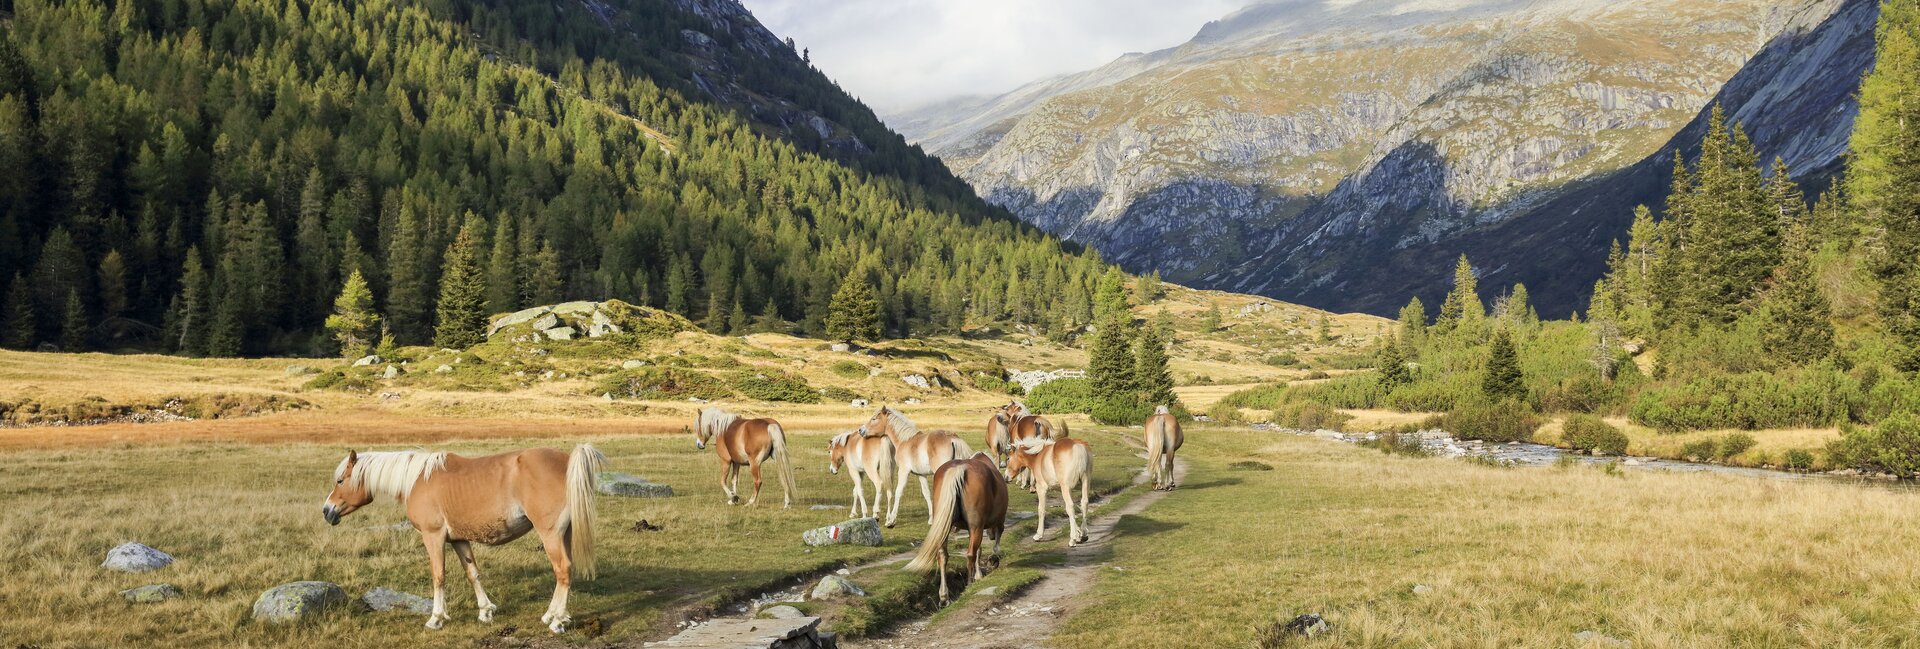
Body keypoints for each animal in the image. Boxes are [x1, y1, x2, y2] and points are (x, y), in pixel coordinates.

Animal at [322, 443, 602, 629]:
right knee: (566, 571)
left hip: (550, 534)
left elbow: (438, 576)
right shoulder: (458, 540)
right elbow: (473, 573)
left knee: (562, 570)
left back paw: (556, 622)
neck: (417, 480)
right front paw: (485, 611)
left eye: (340, 480)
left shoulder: (433, 537)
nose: (327, 510)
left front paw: (436, 618)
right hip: (564, 534)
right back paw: (554, 615)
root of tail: (567, 460)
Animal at [906, 451, 1013, 602]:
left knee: (943, 555)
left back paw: (944, 596)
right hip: (976, 527)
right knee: (970, 554)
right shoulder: (996, 523)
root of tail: (960, 469)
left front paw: (979, 574)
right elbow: (994, 546)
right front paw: (992, 560)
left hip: (946, 527)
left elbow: (979, 549)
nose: (990, 535)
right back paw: (969, 585)